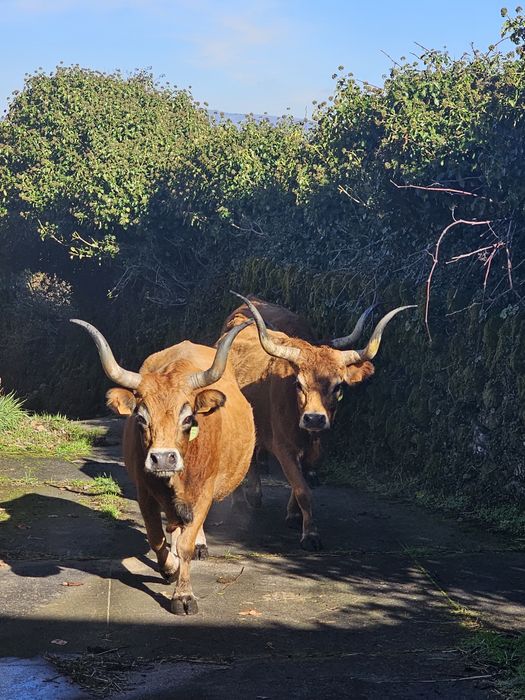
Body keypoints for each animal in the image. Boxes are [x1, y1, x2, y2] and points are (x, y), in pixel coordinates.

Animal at [71, 319, 255, 615]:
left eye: (188, 418)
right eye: (141, 418)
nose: (163, 458)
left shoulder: (203, 491)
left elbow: (187, 544)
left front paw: (184, 595)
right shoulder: (144, 492)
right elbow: (157, 537)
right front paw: (170, 568)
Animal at [222, 293, 415, 551]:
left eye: (339, 386)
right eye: (298, 384)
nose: (314, 418)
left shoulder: (319, 447)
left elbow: (300, 483)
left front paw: (294, 516)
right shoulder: (284, 448)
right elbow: (303, 489)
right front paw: (310, 534)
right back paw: (242, 501)